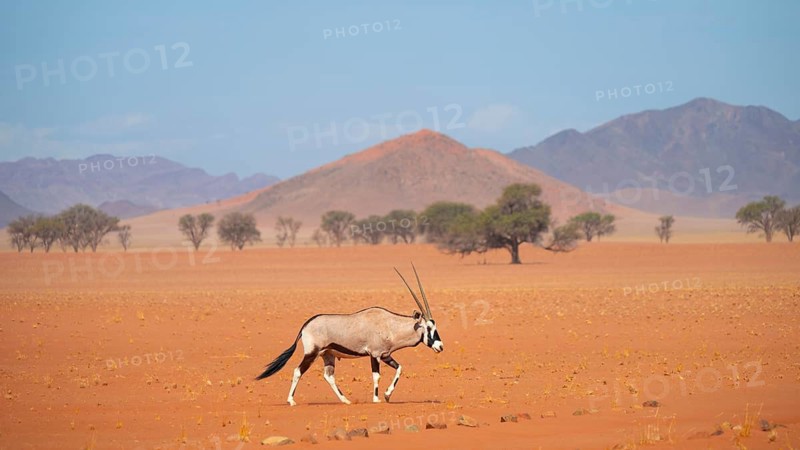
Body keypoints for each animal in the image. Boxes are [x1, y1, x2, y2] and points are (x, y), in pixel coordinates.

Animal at [256, 265, 443, 406]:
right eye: (428, 328)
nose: (440, 346)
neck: (389, 324)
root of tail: (306, 325)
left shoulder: (385, 355)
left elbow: (399, 368)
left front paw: (387, 395)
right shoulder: (374, 354)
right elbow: (376, 375)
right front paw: (376, 399)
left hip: (328, 355)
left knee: (328, 376)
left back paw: (346, 400)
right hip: (312, 353)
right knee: (298, 371)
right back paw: (291, 401)